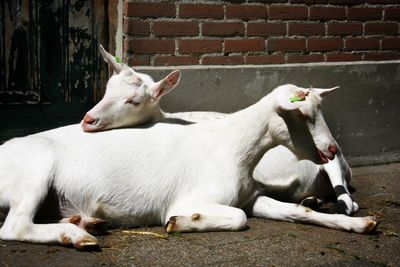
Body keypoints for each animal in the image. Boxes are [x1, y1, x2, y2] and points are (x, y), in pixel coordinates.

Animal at [0, 84, 376, 251]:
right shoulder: (197, 196)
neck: (234, 145)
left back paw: (85, 222)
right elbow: (236, 219)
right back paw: (78, 236)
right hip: (35, 171)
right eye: (303, 115)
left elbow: (299, 212)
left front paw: (359, 224)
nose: (332, 150)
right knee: (15, 226)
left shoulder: (250, 196)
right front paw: (181, 222)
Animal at [83, 45, 358, 216]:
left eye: (134, 101)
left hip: (333, 160)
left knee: (348, 201)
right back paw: (311, 200)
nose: (87, 120)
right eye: (107, 90)